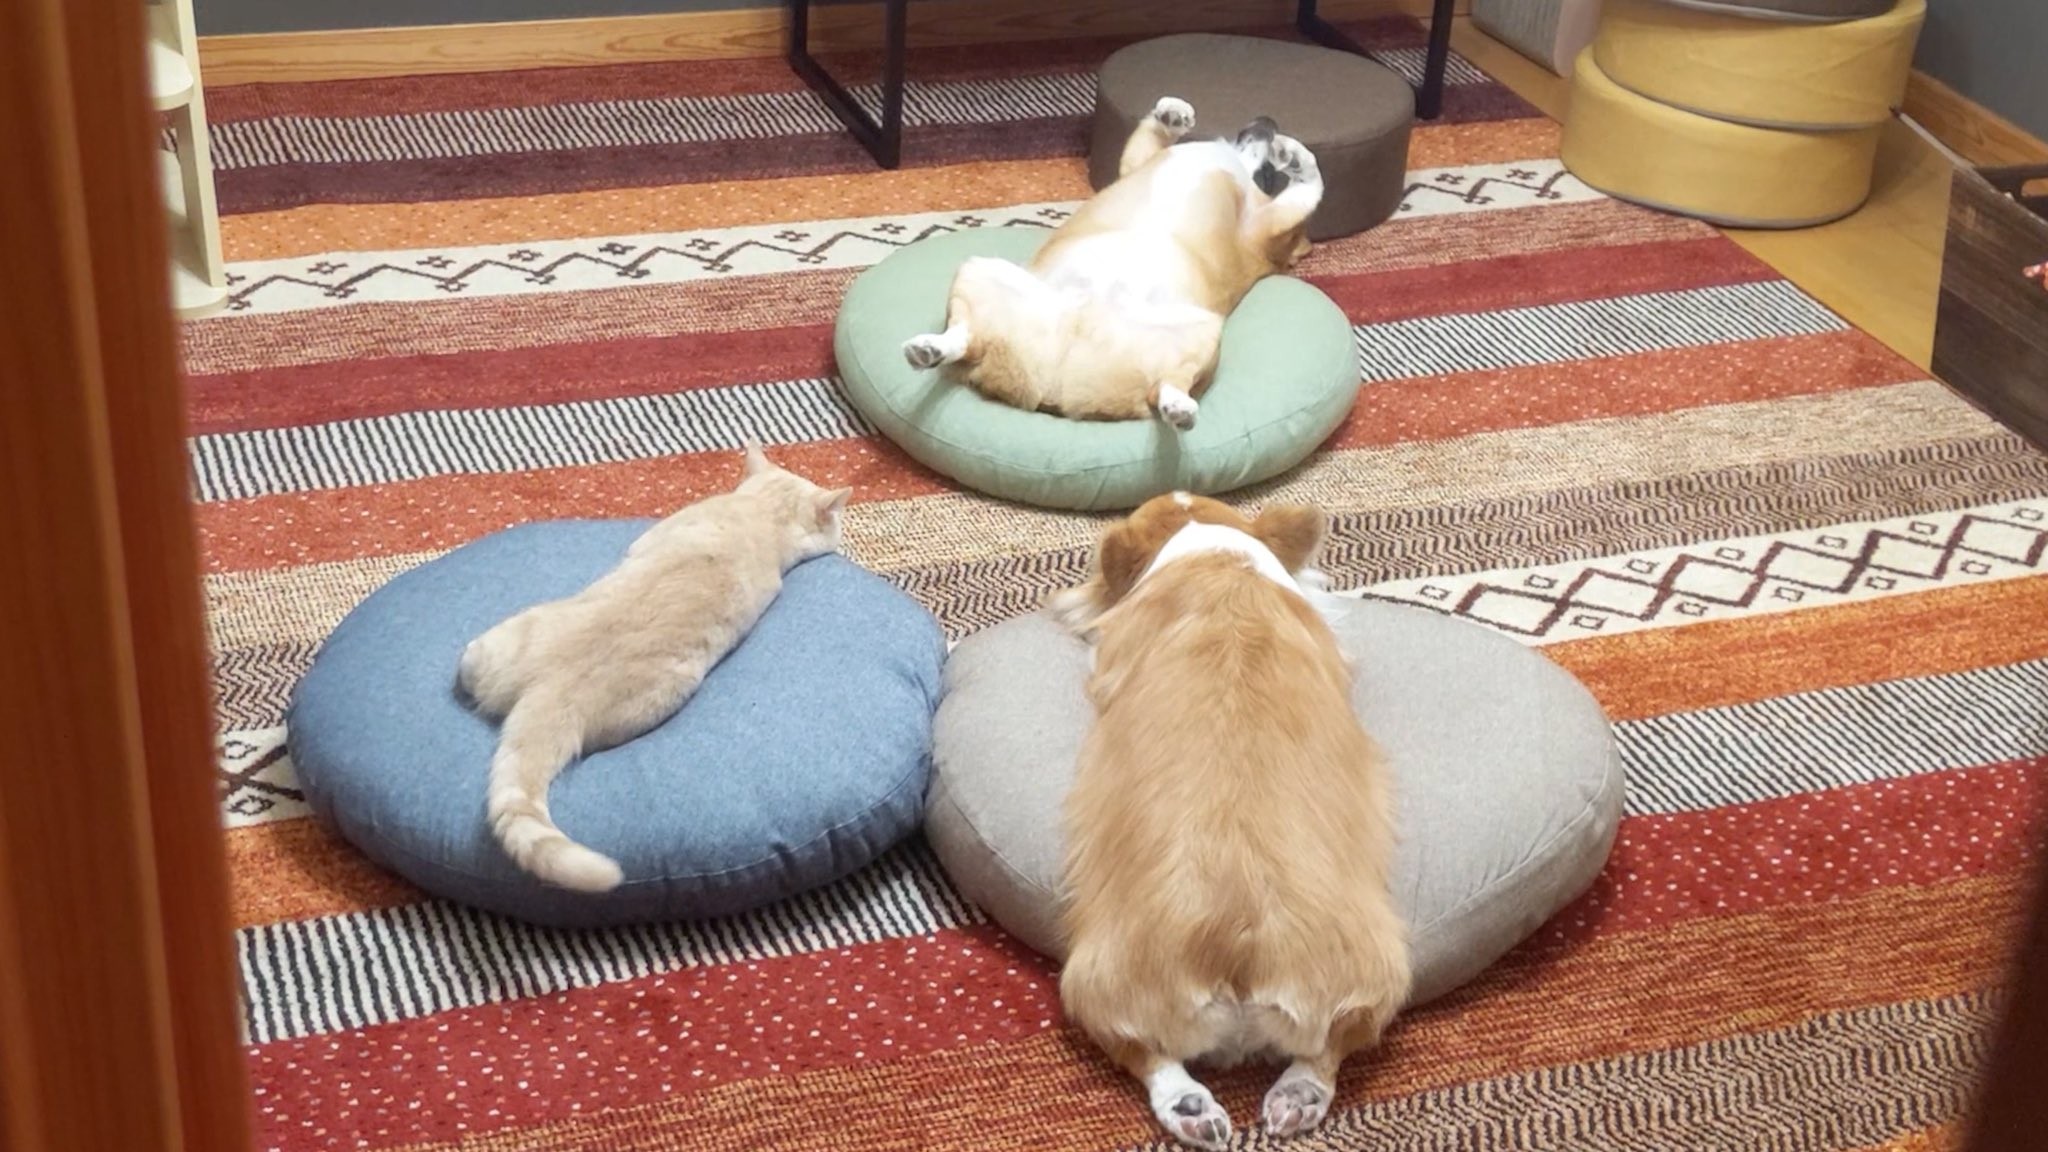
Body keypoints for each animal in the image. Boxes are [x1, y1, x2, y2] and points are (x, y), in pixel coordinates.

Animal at [900, 98, 1324, 430]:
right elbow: (1151, 131)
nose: (1266, 121)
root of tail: (1053, 389)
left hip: (1205, 335)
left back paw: (1178, 406)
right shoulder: (1138, 162)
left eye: (1268, 175)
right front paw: (1174, 112)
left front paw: (1297, 156)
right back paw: (930, 348)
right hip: (981, 269)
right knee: (965, 335)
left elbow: (1313, 183)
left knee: (1169, 383)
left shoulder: (1262, 224)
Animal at [1048, 492, 1410, 1149]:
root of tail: (1239, 937)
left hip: (1086, 979)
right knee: (1325, 1052)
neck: (1212, 554)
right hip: (1385, 969)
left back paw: (1191, 1107)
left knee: (1145, 1053)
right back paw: (1288, 1099)